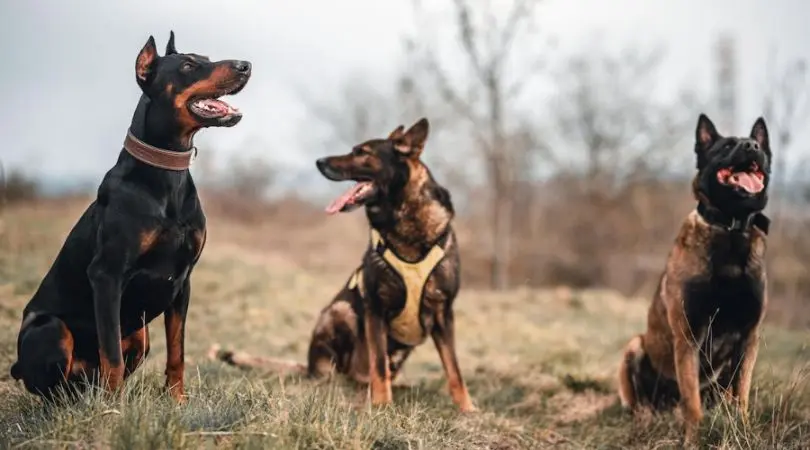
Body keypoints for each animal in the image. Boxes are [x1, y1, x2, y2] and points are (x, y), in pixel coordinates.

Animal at [8, 31, 249, 400]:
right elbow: (112, 355)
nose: (246, 65)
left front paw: (177, 401)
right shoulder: (107, 275)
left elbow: (177, 352)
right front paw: (113, 408)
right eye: (188, 65)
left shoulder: (184, 281)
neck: (166, 175)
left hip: (140, 334)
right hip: (51, 329)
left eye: (206, 58)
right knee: (56, 387)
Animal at [211, 118, 476, 412]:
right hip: (341, 312)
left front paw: (467, 408)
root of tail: (308, 367)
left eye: (362, 152)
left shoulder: (444, 314)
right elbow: (379, 365)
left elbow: (454, 369)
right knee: (342, 372)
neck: (403, 220)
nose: (319, 161)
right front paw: (382, 406)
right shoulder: (375, 308)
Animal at [620, 114, 772, 442]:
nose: (753, 146)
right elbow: (692, 402)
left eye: (755, 145)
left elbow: (741, 395)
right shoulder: (688, 337)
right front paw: (694, 440)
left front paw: (743, 430)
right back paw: (646, 420)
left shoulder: (749, 337)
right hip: (634, 347)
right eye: (727, 146)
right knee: (641, 403)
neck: (730, 228)